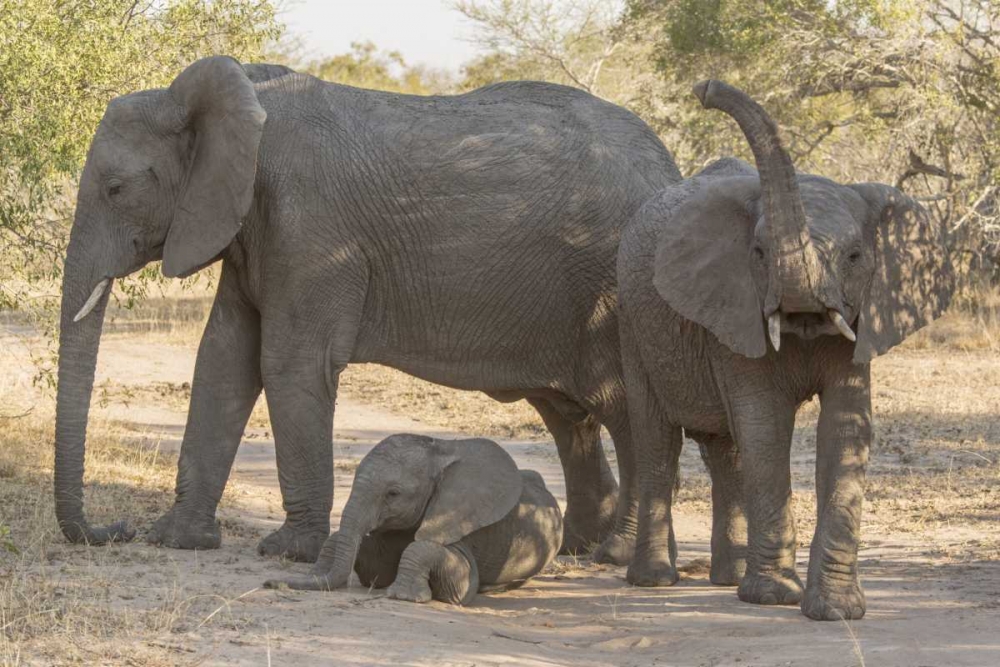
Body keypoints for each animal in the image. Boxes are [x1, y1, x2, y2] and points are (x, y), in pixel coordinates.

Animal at [52, 56, 682, 564]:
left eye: (114, 189)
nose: (115, 529)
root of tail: (670, 166)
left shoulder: (310, 230)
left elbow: (287, 364)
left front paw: (288, 552)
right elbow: (223, 360)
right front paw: (178, 540)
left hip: (614, 288)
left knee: (624, 408)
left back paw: (619, 555)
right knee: (568, 413)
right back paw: (577, 549)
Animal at [263, 433, 562, 604]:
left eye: (393, 494)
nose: (269, 583)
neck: (441, 451)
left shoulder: (462, 520)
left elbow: (462, 579)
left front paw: (403, 597)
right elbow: (378, 569)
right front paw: (316, 574)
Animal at [616, 81, 954, 620]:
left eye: (855, 256)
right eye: (758, 254)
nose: (705, 89)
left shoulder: (861, 320)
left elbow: (845, 429)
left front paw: (836, 610)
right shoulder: (734, 305)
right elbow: (766, 427)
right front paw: (775, 597)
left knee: (726, 451)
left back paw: (729, 578)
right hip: (630, 318)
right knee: (657, 441)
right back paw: (654, 581)